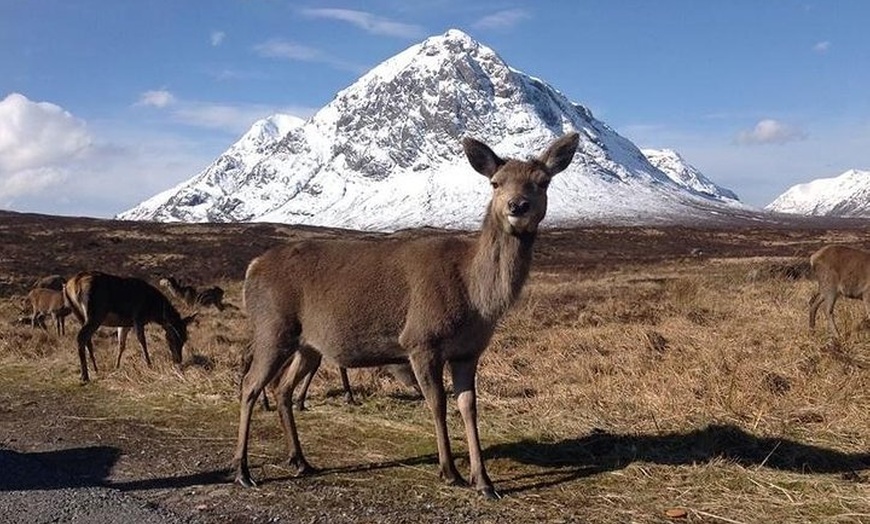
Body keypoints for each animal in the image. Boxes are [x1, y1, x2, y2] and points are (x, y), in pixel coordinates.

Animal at [63, 270, 197, 380]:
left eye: (185, 338)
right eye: (173, 337)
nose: (178, 360)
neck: (153, 310)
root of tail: (72, 285)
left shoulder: (124, 324)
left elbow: (121, 345)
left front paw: (116, 366)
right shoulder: (138, 317)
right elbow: (142, 341)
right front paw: (149, 364)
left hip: (79, 314)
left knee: (87, 340)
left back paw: (95, 369)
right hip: (95, 313)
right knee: (81, 337)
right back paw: (84, 376)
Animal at [235, 132, 584, 500]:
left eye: (542, 182)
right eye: (495, 183)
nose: (517, 206)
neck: (477, 300)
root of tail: (252, 267)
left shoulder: (468, 351)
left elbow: (469, 406)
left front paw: (483, 481)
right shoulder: (420, 340)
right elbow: (438, 403)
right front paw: (450, 472)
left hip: (308, 345)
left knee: (282, 388)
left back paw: (300, 460)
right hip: (272, 327)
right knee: (250, 385)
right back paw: (243, 470)